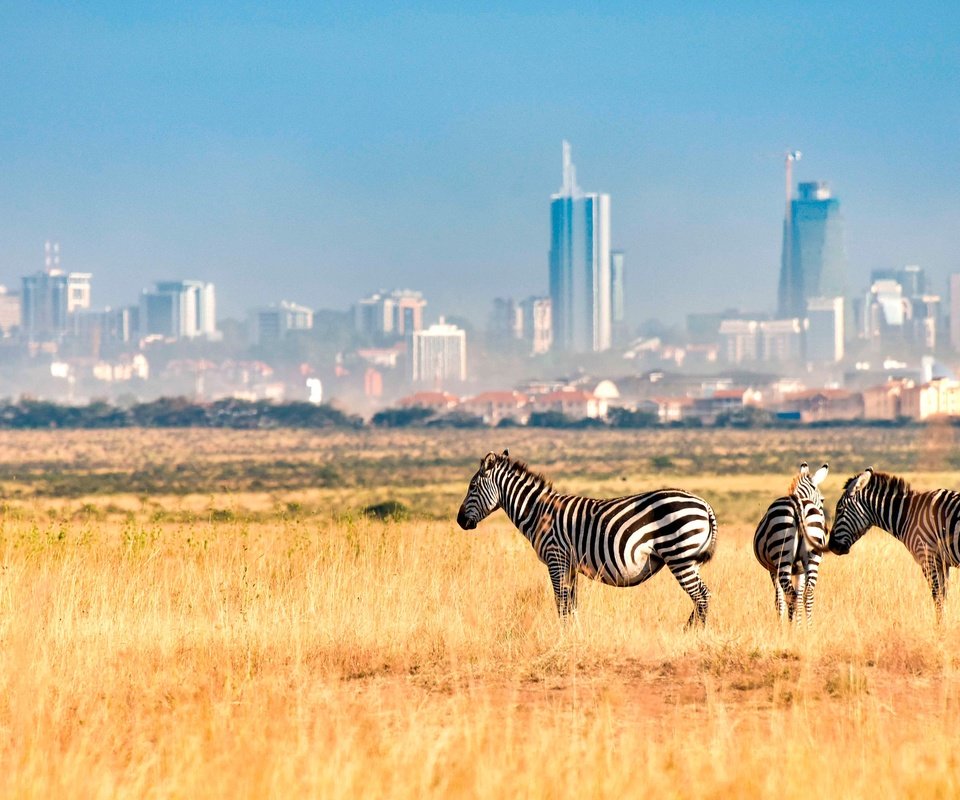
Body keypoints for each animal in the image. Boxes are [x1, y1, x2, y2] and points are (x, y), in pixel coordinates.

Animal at [454, 450, 716, 624]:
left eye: (472, 487)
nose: (459, 521)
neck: (538, 512)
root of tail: (704, 504)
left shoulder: (556, 558)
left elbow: (560, 603)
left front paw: (563, 637)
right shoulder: (569, 564)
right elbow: (572, 604)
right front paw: (575, 634)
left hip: (678, 554)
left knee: (701, 596)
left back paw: (691, 634)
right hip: (689, 559)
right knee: (702, 595)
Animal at [752, 460, 828, 620]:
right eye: (822, 500)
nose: (826, 530)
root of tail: (799, 503)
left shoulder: (772, 569)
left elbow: (779, 601)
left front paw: (781, 624)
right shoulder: (800, 570)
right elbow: (799, 598)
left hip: (782, 557)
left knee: (791, 595)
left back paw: (791, 626)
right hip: (812, 558)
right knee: (807, 594)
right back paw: (809, 626)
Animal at [828, 466, 960, 620]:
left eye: (839, 510)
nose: (831, 546)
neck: (909, 515)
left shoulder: (928, 557)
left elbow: (937, 598)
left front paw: (940, 625)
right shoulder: (942, 562)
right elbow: (943, 597)